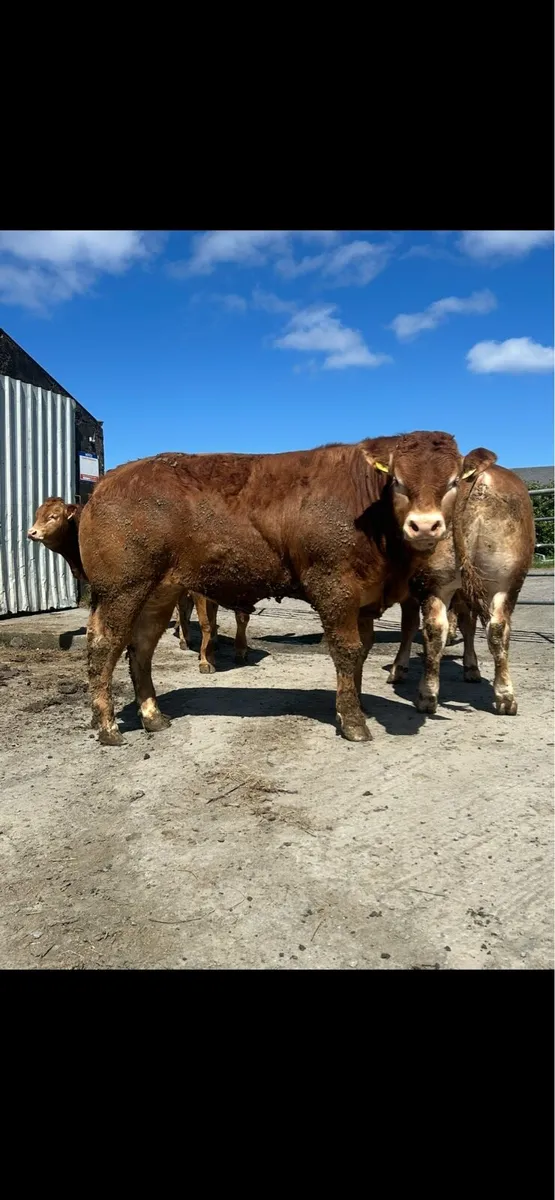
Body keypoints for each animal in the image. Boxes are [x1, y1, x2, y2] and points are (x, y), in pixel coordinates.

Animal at [77, 432, 466, 747]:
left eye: (453, 482)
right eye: (398, 481)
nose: (425, 526)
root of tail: (109, 481)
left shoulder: (364, 601)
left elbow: (363, 651)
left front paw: (354, 704)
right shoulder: (335, 590)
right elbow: (348, 651)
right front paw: (353, 722)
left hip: (159, 592)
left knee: (141, 647)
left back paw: (152, 716)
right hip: (121, 590)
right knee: (104, 647)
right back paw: (107, 725)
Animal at [387, 450, 535, 716]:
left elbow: (409, 626)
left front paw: (398, 668)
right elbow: (467, 625)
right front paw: (471, 667)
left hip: (437, 580)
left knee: (437, 627)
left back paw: (427, 696)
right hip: (506, 581)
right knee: (497, 628)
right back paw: (505, 696)